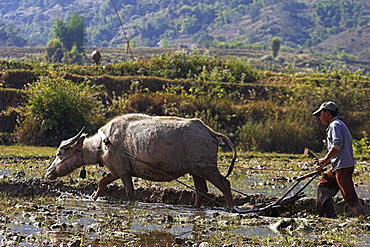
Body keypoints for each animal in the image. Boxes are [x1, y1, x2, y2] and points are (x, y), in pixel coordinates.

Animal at [44, 114, 237, 210]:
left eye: (60, 153)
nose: (48, 173)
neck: (103, 144)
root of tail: (209, 132)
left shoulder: (123, 172)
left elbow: (130, 193)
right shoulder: (116, 171)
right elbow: (102, 183)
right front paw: (93, 199)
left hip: (207, 169)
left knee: (224, 184)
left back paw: (231, 208)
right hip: (196, 171)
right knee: (201, 190)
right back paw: (195, 208)